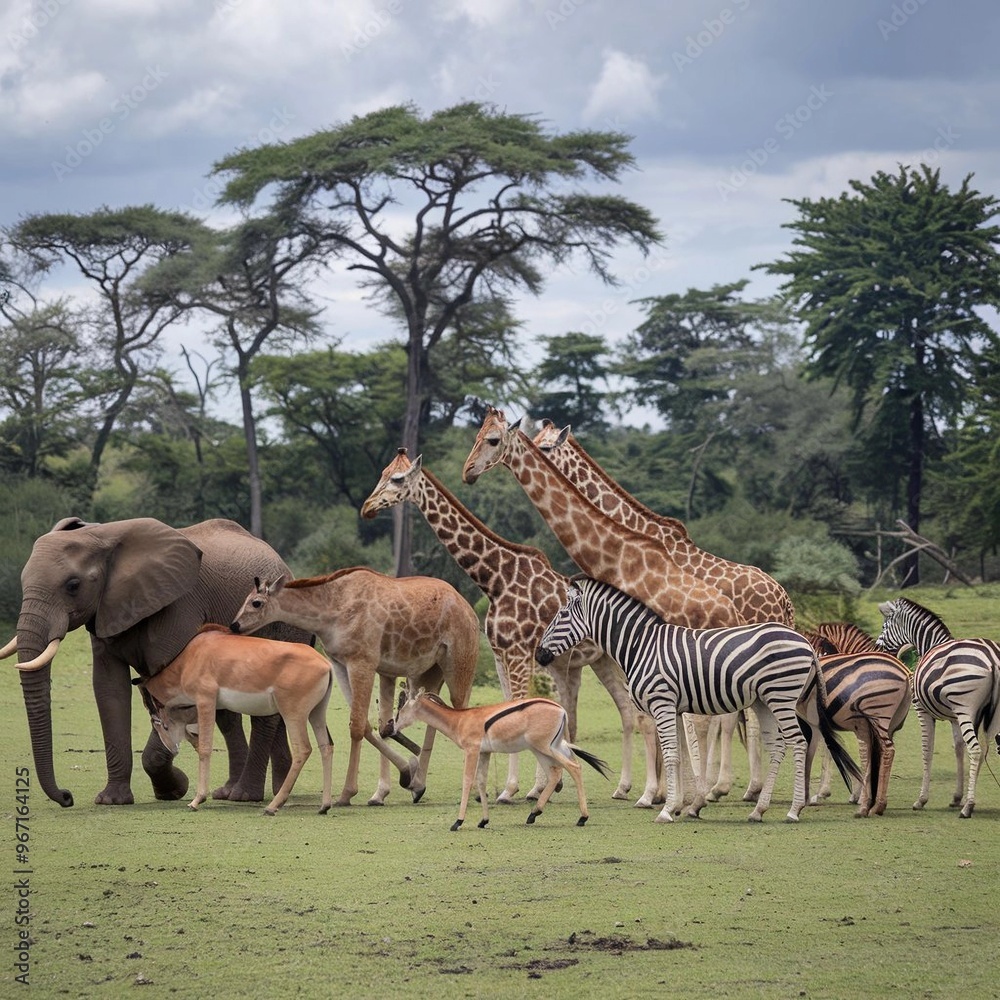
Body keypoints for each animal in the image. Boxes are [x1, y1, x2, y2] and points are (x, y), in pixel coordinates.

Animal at [535, 576, 861, 824]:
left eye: (561, 616)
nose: (539, 655)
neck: (641, 645)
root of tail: (805, 641)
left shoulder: (662, 703)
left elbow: (671, 755)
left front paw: (666, 810)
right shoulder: (675, 708)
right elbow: (679, 755)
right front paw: (681, 806)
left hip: (782, 696)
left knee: (799, 742)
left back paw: (794, 810)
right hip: (764, 700)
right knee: (778, 746)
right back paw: (759, 810)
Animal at [875, 597, 1000, 818]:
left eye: (884, 627)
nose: (876, 647)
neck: (930, 644)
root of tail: (992, 658)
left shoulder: (922, 710)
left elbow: (927, 749)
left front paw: (921, 800)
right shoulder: (955, 717)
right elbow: (958, 748)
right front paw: (957, 797)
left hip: (966, 708)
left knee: (976, 750)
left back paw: (968, 808)